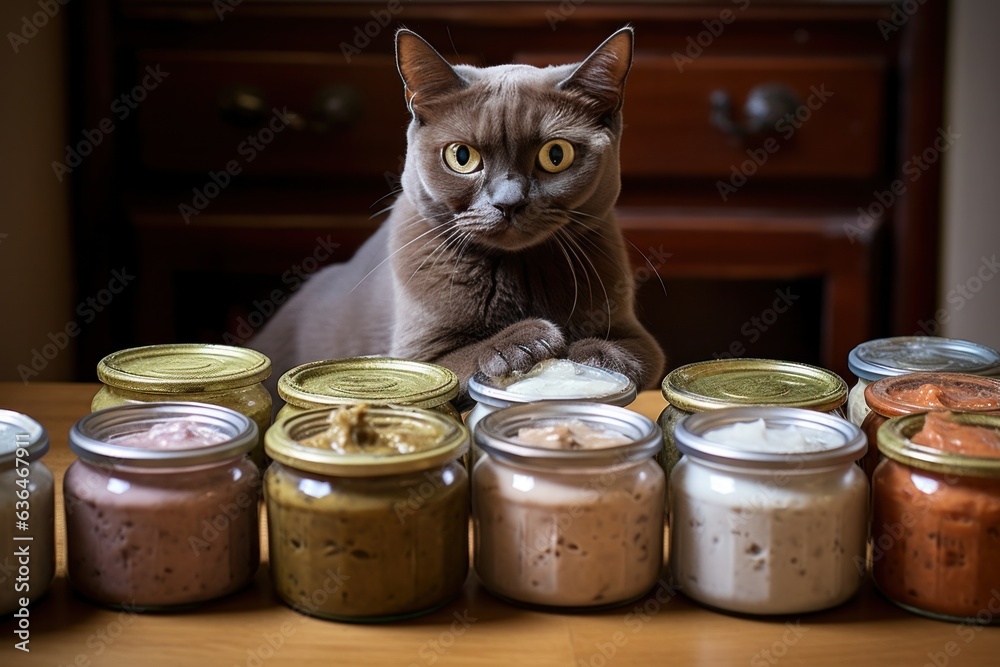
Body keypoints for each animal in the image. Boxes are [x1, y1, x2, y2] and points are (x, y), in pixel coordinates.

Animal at [252, 27, 664, 408]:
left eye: (555, 154)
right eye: (461, 157)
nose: (508, 202)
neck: (518, 272)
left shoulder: (641, 339)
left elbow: (632, 355)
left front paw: (592, 357)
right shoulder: (417, 351)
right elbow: (454, 362)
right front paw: (526, 341)